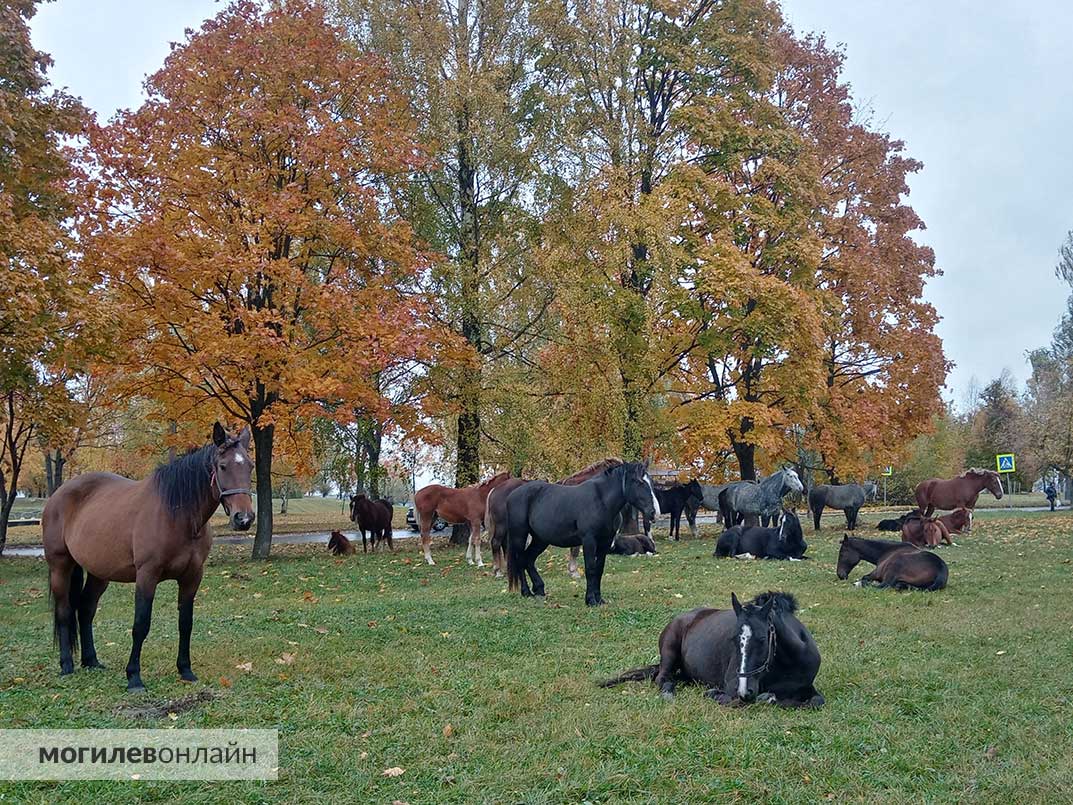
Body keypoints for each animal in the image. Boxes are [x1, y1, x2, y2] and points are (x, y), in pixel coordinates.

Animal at [41, 422, 255, 695]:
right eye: (223, 466)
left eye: (249, 465)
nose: (244, 518)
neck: (177, 514)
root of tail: (59, 494)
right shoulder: (147, 575)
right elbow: (141, 625)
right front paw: (134, 677)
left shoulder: (192, 577)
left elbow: (186, 623)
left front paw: (185, 670)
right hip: (60, 566)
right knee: (64, 611)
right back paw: (67, 665)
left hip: (100, 573)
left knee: (86, 609)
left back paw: (91, 661)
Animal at [484, 459, 622, 579]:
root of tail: (496, 489)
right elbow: (575, 550)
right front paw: (574, 571)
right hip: (502, 525)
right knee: (496, 543)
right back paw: (498, 571)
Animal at [504, 459, 660, 605]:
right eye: (638, 482)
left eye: (651, 482)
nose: (654, 513)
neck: (601, 501)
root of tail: (513, 494)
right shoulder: (589, 541)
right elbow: (590, 568)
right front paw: (590, 600)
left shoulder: (605, 542)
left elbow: (599, 569)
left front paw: (599, 599)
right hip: (519, 536)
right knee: (520, 560)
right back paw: (526, 592)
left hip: (540, 539)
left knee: (528, 559)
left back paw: (539, 589)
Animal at [600, 588, 824, 708]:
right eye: (733, 639)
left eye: (762, 638)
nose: (744, 689)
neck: (788, 664)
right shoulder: (733, 686)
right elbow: (735, 700)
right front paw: (715, 694)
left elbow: (816, 701)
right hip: (669, 653)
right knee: (662, 678)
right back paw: (668, 692)